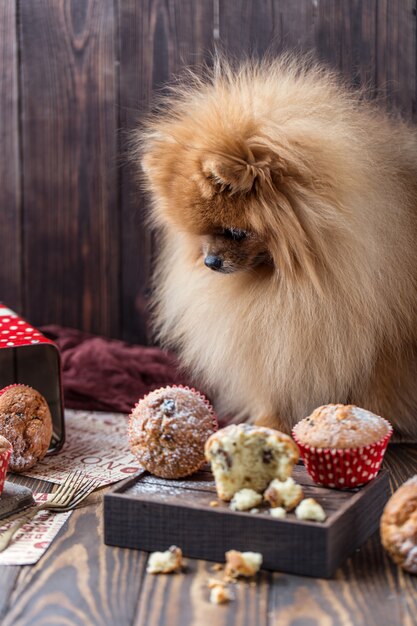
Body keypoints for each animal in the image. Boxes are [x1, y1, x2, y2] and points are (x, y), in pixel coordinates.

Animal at [138, 57, 416, 438]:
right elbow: (274, 380)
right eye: (198, 234)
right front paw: (272, 423)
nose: (210, 261)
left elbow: (376, 384)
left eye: (235, 232)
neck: (287, 278)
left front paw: (367, 420)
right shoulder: (275, 333)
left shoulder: (382, 334)